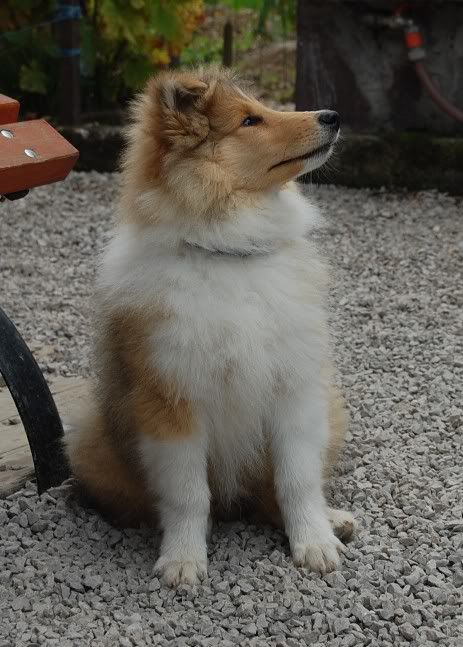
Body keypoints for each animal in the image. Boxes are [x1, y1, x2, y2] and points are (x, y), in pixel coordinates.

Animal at [65, 66, 355, 587]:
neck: (228, 254)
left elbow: (297, 478)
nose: (333, 116)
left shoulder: (296, 388)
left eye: (261, 109)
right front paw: (182, 561)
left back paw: (334, 520)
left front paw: (315, 544)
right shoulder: (171, 401)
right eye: (249, 121)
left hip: (332, 405)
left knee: (272, 494)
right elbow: (186, 494)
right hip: (88, 437)